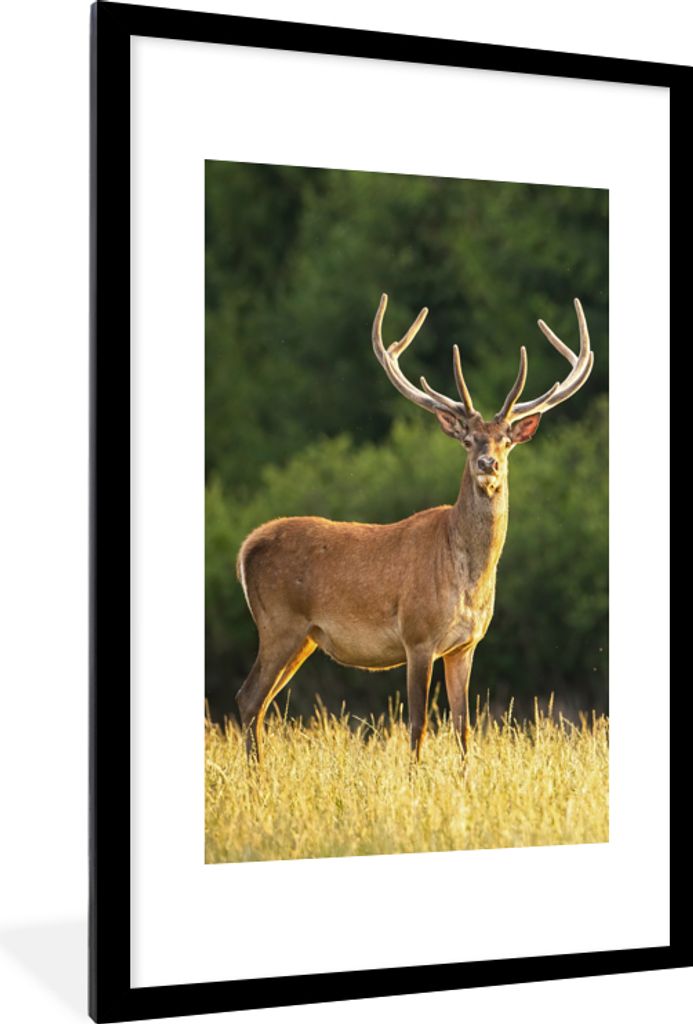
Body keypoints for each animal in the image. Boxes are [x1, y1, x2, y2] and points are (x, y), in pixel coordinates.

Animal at [235, 293, 594, 763]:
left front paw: (464, 777)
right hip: (279, 623)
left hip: (305, 637)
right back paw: (256, 772)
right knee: (248, 698)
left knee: (260, 703)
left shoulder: (466, 645)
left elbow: (463, 728)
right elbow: (418, 725)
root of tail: (247, 547)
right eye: (469, 440)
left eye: (505, 441)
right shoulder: (417, 636)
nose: (488, 464)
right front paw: (414, 776)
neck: (467, 579)